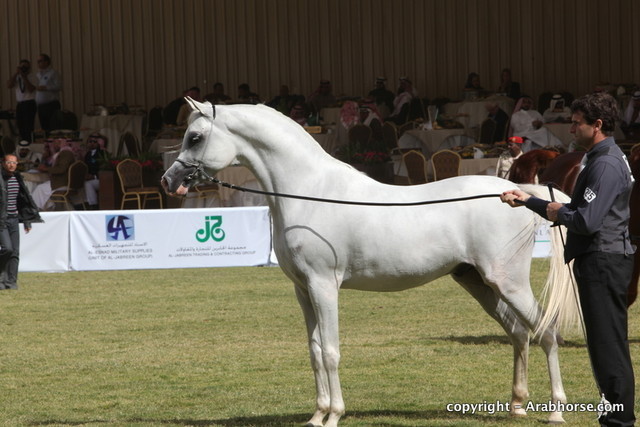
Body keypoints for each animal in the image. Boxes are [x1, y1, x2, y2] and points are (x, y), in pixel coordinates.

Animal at [161, 98, 576, 426]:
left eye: (195, 137)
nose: (168, 181)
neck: (311, 192)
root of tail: (518, 193)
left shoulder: (324, 286)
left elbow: (331, 352)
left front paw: (333, 415)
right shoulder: (302, 291)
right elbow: (314, 352)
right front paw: (316, 415)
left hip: (507, 281)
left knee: (546, 331)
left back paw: (556, 409)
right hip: (477, 281)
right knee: (519, 333)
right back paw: (517, 405)